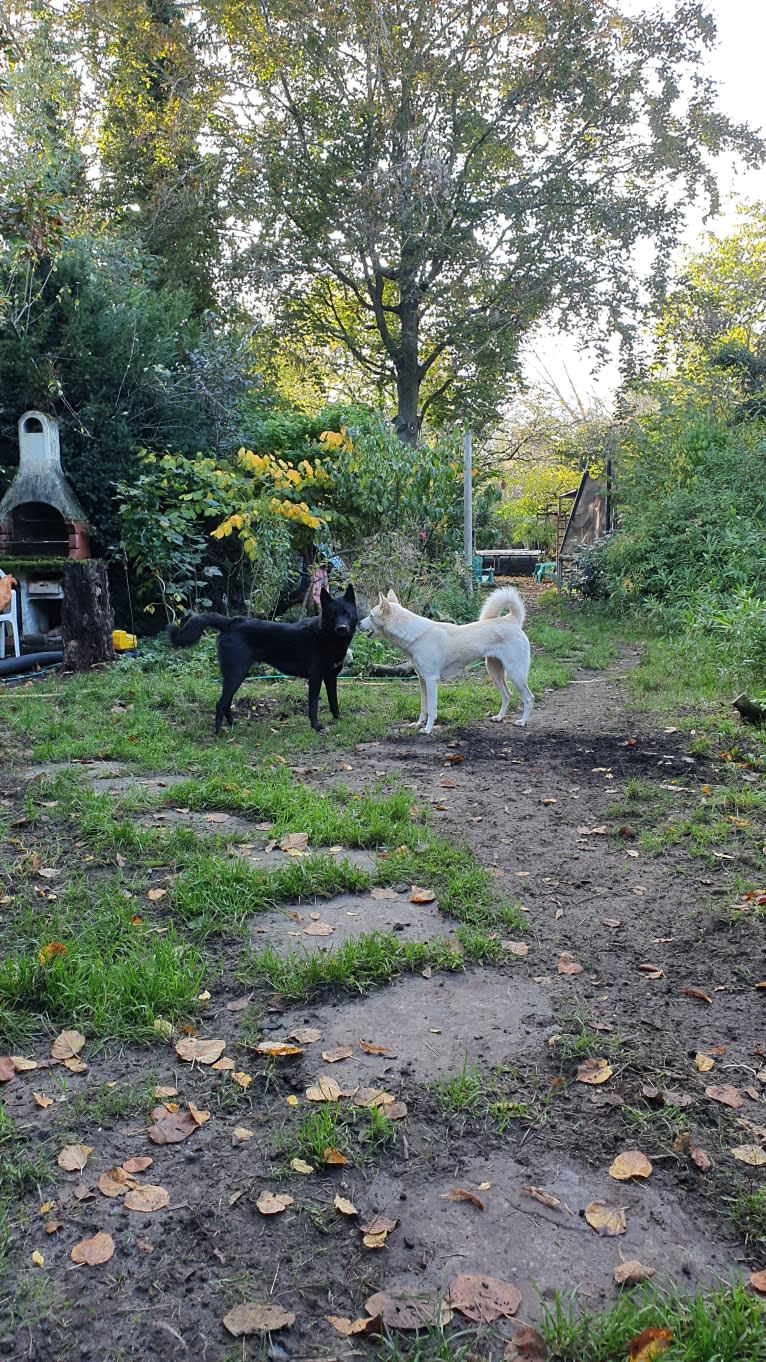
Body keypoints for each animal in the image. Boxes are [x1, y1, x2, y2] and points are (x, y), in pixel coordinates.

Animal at [167, 585, 357, 735]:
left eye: (347, 613)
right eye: (333, 614)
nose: (342, 628)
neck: (327, 636)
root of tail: (230, 622)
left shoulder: (331, 677)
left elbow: (334, 702)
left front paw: (338, 720)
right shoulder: (316, 678)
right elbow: (313, 706)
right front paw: (316, 727)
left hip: (236, 674)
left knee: (226, 701)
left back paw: (233, 724)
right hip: (236, 673)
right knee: (221, 703)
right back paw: (219, 731)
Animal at [357, 585, 531, 735]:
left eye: (371, 615)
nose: (357, 622)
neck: (414, 634)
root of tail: (511, 620)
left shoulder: (431, 680)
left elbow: (432, 709)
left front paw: (428, 729)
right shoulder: (422, 680)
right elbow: (424, 707)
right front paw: (419, 724)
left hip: (515, 674)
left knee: (529, 697)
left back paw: (523, 721)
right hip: (495, 672)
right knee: (507, 695)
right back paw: (500, 717)